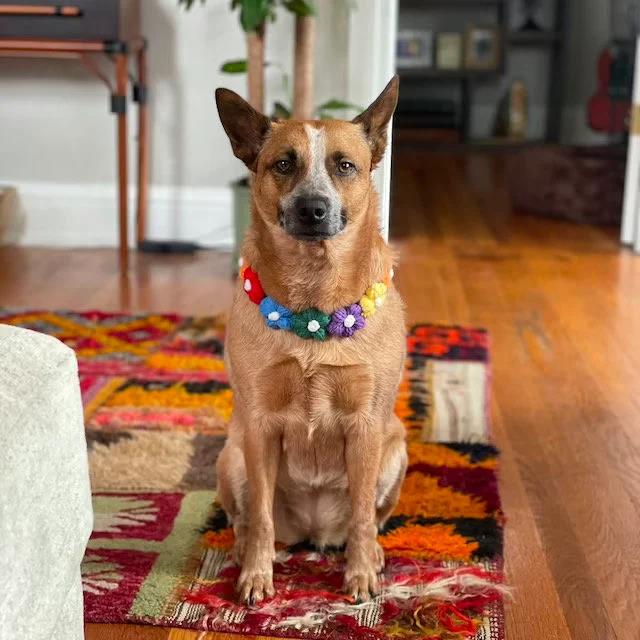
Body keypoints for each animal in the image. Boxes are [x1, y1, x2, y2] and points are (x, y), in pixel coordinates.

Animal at [214, 76, 404, 604]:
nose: (312, 209)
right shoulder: (260, 427)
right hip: (232, 454)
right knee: (246, 519)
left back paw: (372, 553)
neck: (314, 305)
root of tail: (314, 532)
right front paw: (257, 576)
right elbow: (259, 516)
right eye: (283, 163)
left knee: (371, 518)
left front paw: (359, 576)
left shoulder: (365, 427)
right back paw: (245, 552)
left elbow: (362, 514)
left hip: (395, 449)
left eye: (345, 165)